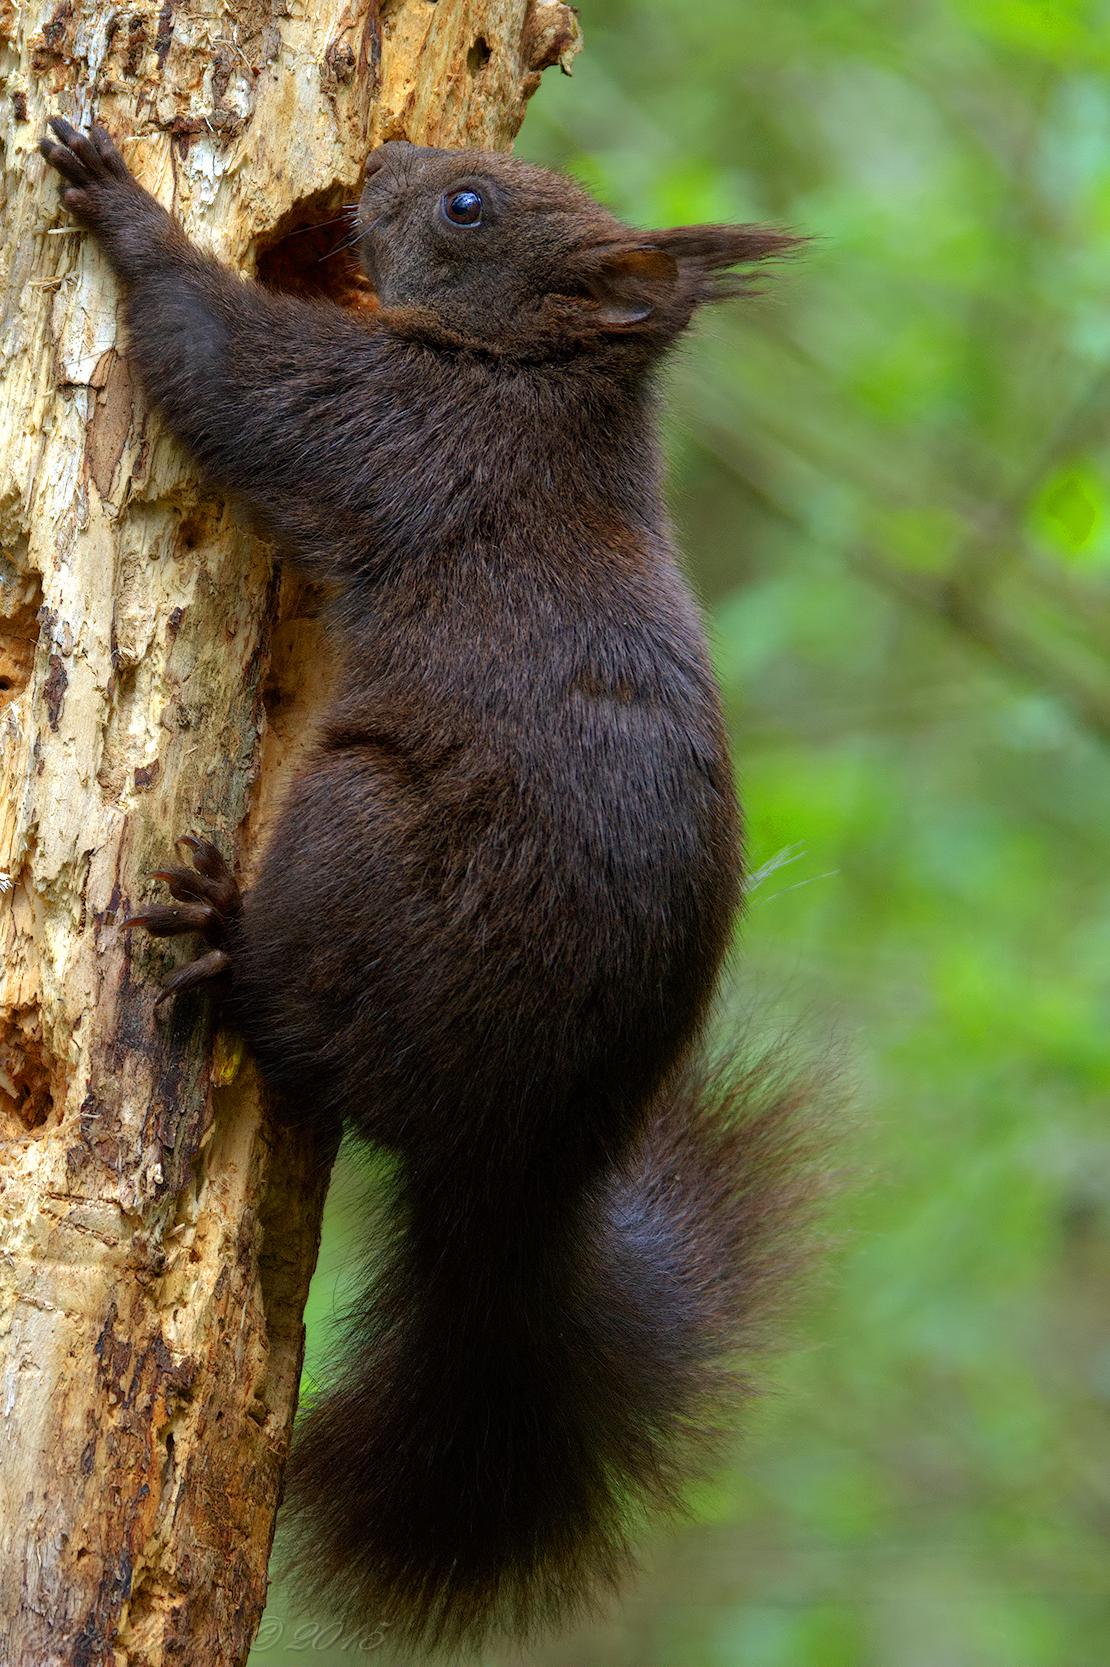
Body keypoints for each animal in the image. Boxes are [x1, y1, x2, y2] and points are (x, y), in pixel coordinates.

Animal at [40, 119, 816, 1654]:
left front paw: (120, 197)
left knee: (298, 1029)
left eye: (467, 205)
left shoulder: (391, 422)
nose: (388, 154)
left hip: (357, 836)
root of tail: (526, 1171)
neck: (536, 384)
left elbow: (233, 371)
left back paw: (220, 940)